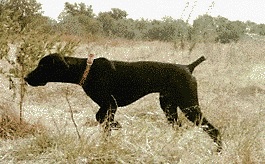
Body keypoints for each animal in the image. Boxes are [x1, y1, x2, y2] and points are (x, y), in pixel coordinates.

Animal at [24, 53, 221, 151]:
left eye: (42, 66)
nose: (26, 77)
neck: (87, 70)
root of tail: (188, 67)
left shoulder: (111, 104)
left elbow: (101, 118)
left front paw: (115, 126)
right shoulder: (108, 106)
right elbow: (102, 121)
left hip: (189, 107)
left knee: (214, 130)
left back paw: (218, 151)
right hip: (169, 107)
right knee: (179, 128)